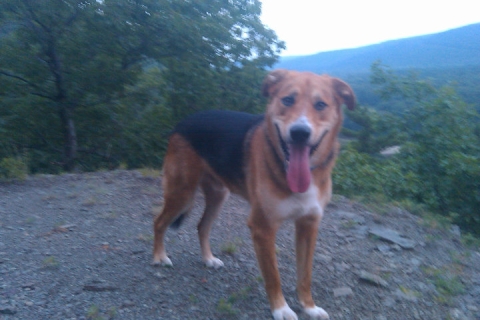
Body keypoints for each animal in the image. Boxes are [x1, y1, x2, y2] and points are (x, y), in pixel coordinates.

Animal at [152, 70, 354, 320]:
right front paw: (281, 309)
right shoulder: (263, 227)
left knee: (202, 226)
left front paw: (309, 307)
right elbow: (273, 276)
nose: (299, 133)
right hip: (182, 192)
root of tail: (184, 121)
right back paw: (159, 257)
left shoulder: (309, 225)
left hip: (218, 195)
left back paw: (208, 259)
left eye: (320, 105)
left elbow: (305, 275)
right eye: (287, 100)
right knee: (159, 222)